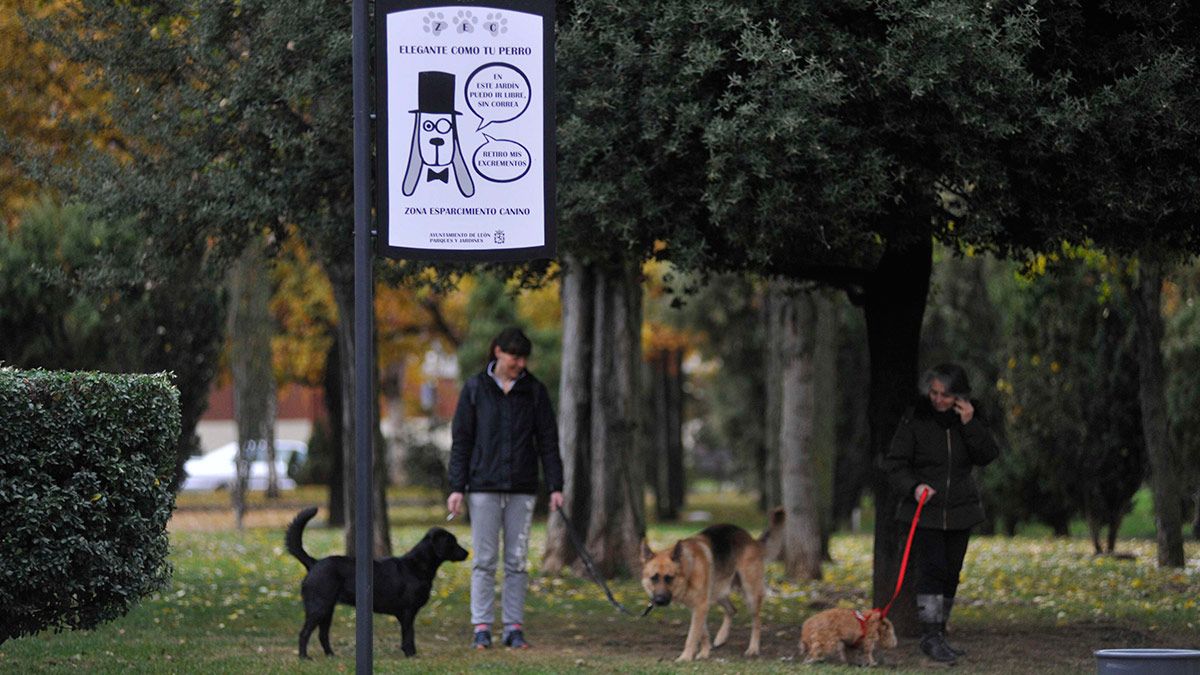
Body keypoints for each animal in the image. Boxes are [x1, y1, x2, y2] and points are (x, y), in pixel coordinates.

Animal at [283, 504, 465, 658]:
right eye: (453, 542)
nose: (467, 553)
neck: (417, 565)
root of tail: (314, 563)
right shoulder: (407, 611)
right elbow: (409, 635)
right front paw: (410, 655)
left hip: (327, 609)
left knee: (322, 634)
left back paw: (331, 656)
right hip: (318, 607)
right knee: (304, 633)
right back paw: (304, 657)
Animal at [643, 523, 763, 658]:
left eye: (669, 578)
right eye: (654, 578)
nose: (659, 601)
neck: (689, 571)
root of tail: (748, 537)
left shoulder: (700, 606)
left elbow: (692, 635)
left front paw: (686, 657)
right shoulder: (698, 607)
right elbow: (702, 633)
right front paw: (704, 653)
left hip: (750, 595)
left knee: (757, 622)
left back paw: (753, 648)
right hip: (717, 593)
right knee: (732, 610)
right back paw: (721, 637)